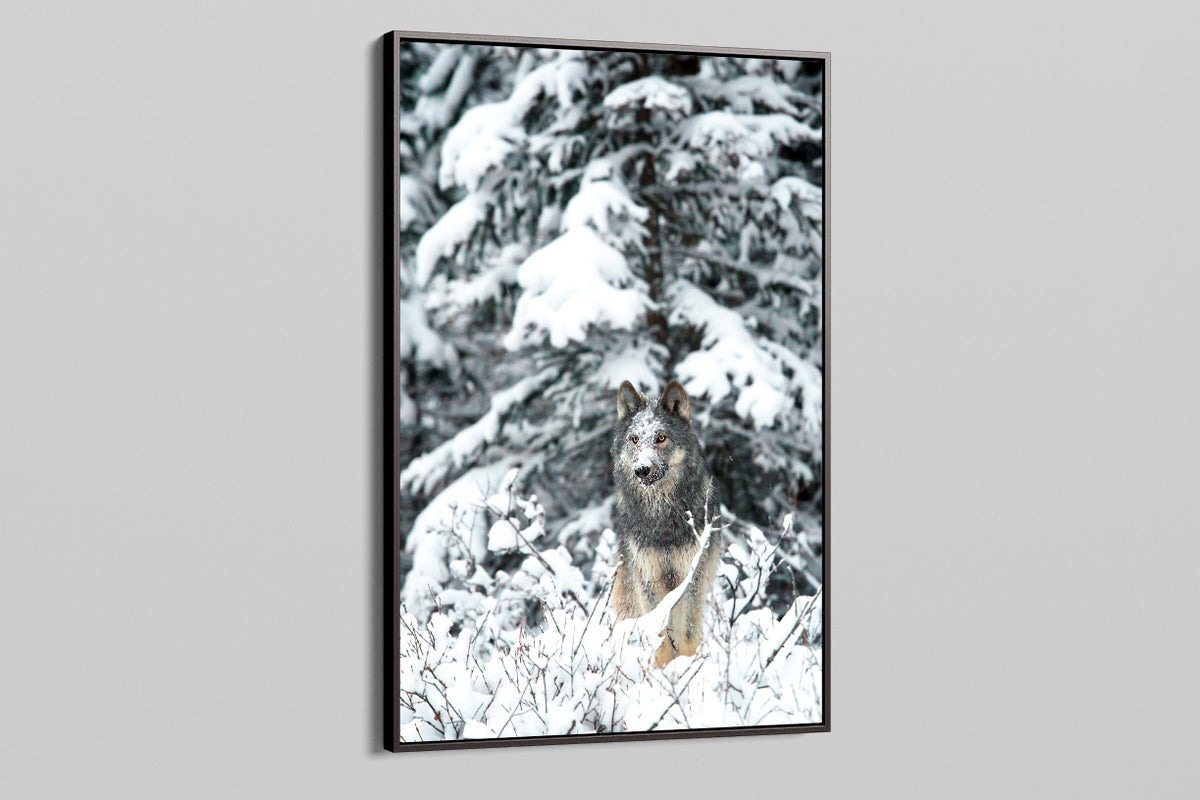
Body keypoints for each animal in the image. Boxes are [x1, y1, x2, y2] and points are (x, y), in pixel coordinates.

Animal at [610, 380, 722, 668]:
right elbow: (659, 633)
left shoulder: (692, 576)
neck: (662, 521)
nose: (642, 469)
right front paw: (661, 668)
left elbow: (688, 633)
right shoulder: (648, 580)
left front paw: (689, 666)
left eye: (661, 437)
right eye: (634, 439)